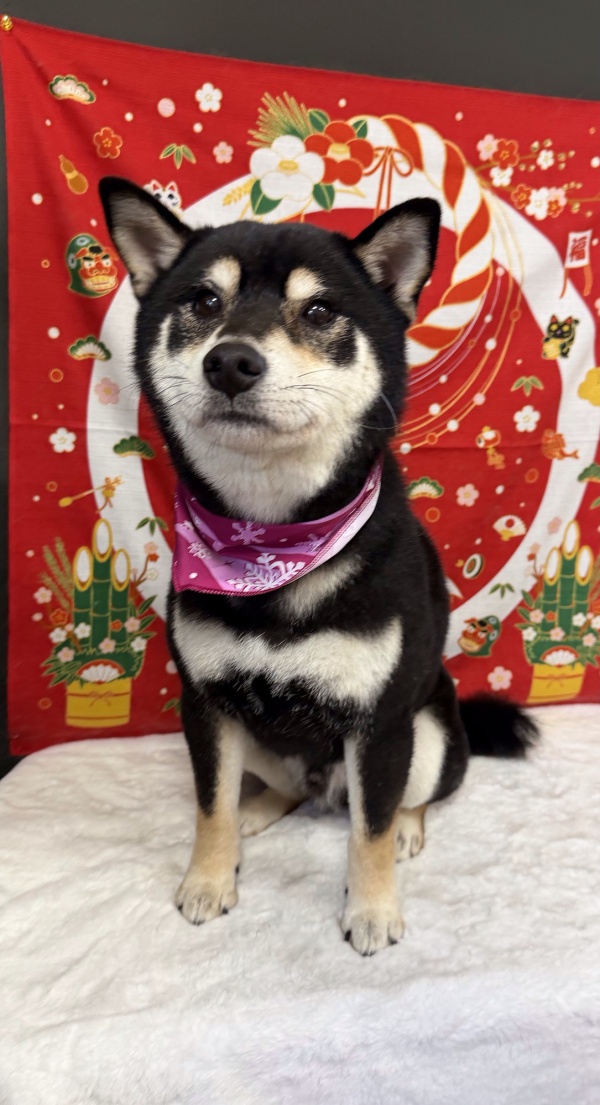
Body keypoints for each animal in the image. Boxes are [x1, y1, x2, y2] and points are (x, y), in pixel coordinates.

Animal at [100, 177, 538, 955]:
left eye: (319, 311)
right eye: (203, 301)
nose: (231, 360)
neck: (273, 540)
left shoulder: (381, 724)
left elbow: (370, 828)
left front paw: (372, 909)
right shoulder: (206, 704)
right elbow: (209, 804)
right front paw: (208, 879)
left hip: (429, 732)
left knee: (410, 799)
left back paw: (409, 831)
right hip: (261, 739)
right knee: (285, 787)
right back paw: (261, 809)